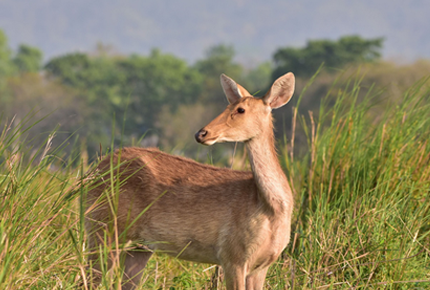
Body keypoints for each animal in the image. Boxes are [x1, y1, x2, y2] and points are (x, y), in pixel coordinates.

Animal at [87, 71, 296, 288]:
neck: (270, 208)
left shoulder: (262, 264)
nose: (201, 133)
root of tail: (96, 170)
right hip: (105, 226)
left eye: (240, 109)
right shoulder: (232, 255)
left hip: (138, 246)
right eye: (227, 106)